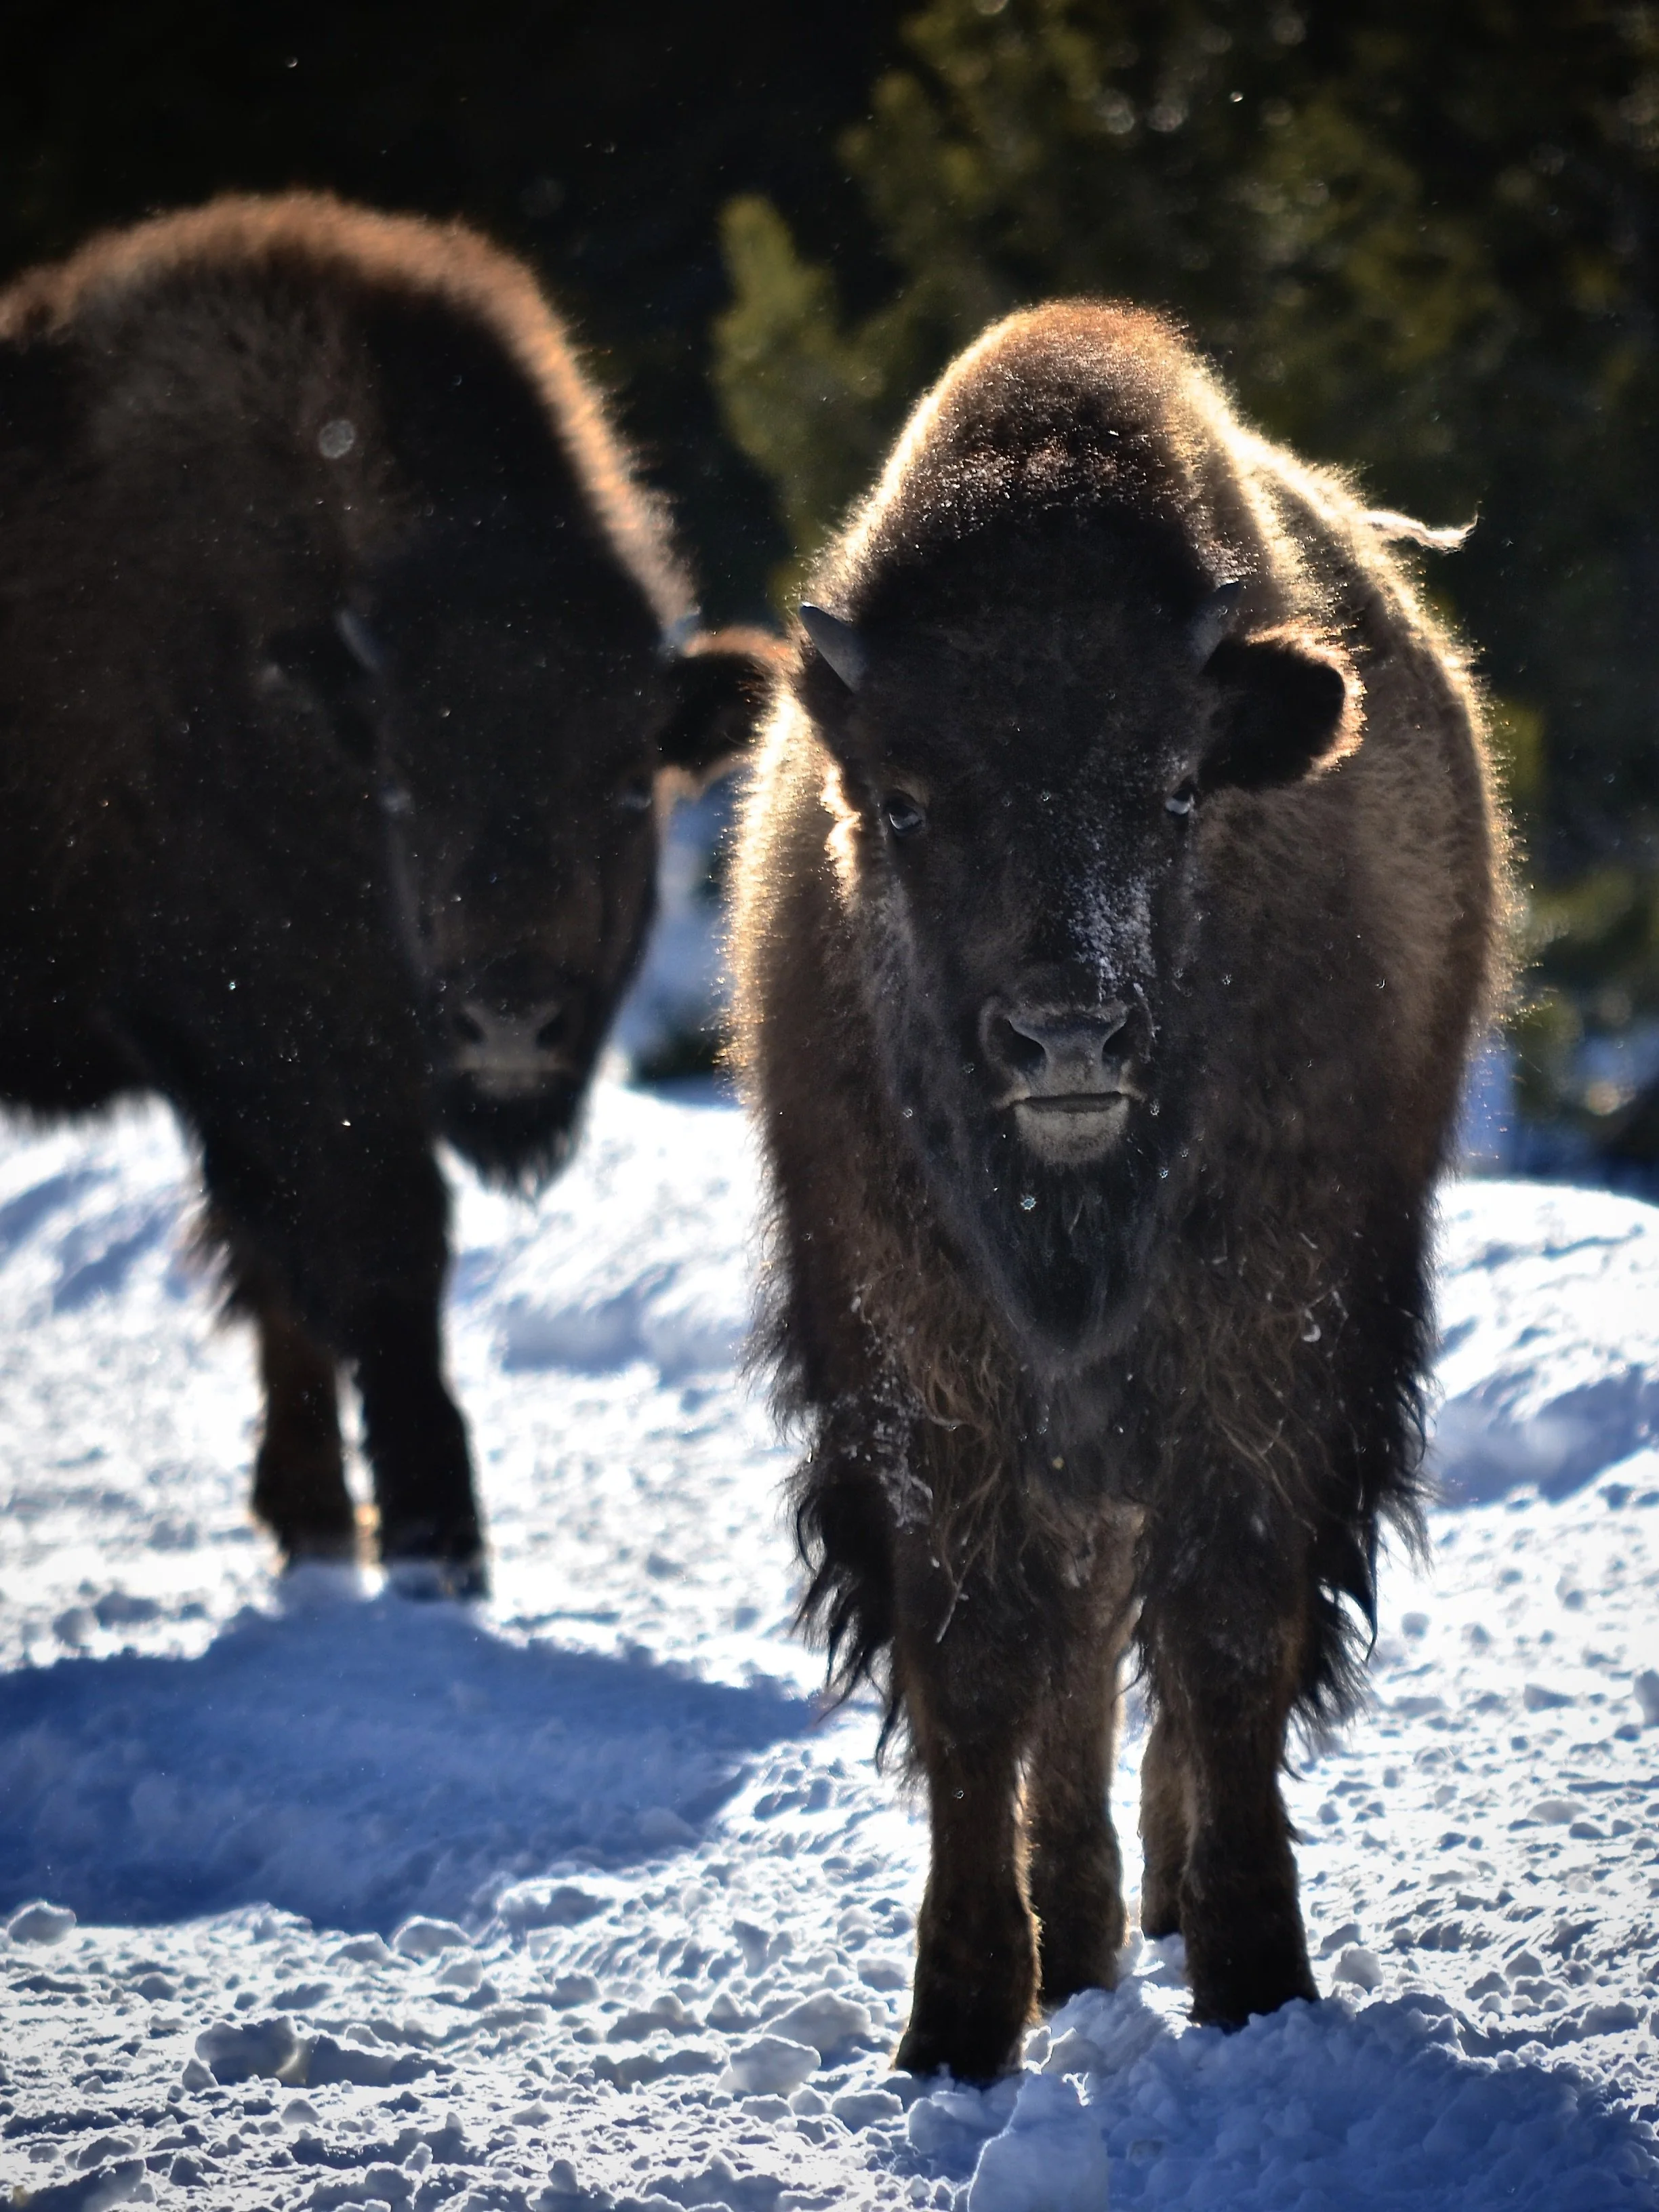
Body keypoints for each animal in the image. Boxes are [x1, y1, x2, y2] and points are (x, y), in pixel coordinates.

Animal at [0, 194, 776, 1592]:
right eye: (404, 786)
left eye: (626, 784)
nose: (510, 1019)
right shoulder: (288, 1050)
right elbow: (373, 1263)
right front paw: (432, 1536)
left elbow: (287, 1274)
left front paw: (319, 1521)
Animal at [732, 303, 1508, 2080]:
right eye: (901, 800)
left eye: (1172, 788)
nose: (1068, 1031)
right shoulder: (924, 1374)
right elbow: (978, 1670)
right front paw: (956, 2025)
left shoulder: (1268, 1348)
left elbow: (1225, 1644)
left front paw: (1254, 1978)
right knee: (1078, 1644)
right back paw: (1077, 1937)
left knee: (1151, 1638)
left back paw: (1148, 1904)